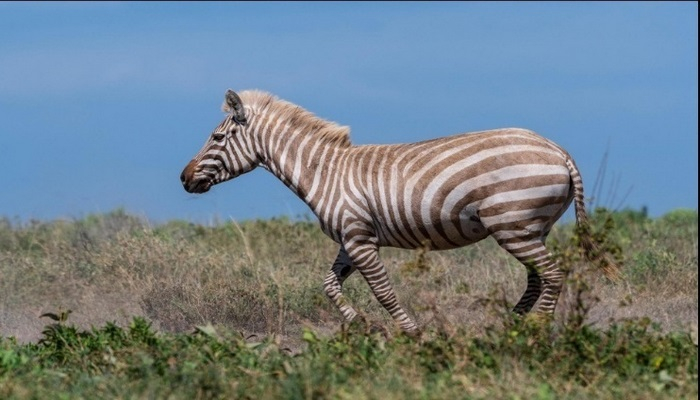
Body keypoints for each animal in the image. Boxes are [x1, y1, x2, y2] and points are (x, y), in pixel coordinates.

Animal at [179, 89, 616, 336]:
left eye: (217, 137)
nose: (184, 178)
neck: (324, 172)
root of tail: (557, 150)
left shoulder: (359, 238)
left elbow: (383, 291)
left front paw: (411, 333)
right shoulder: (351, 237)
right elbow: (329, 285)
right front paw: (361, 325)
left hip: (513, 225)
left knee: (553, 275)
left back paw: (536, 330)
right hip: (527, 228)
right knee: (537, 279)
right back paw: (510, 325)